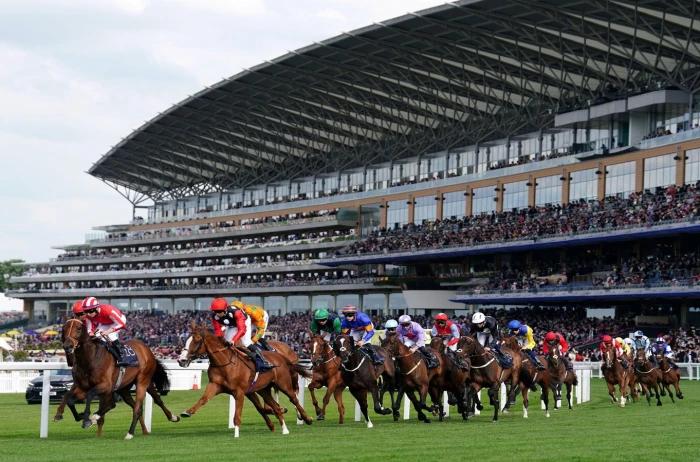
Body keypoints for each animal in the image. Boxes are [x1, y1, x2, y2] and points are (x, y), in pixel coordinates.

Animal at [178, 322, 312, 436]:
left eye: (197, 340)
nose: (181, 360)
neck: (225, 363)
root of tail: (281, 356)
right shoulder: (215, 385)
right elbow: (203, 399)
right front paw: (187, 412)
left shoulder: (240, 392)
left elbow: (238, 415)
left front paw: (236, 435)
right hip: (264, 389)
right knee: (275, 406)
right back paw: (284, 428)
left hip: (283, 383)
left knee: (293, 398)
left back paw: (306, 418)